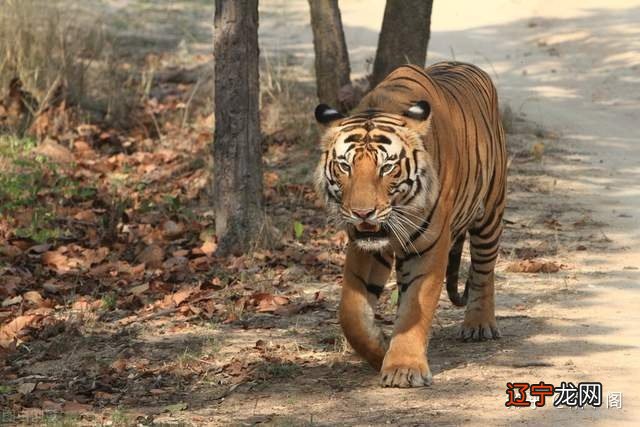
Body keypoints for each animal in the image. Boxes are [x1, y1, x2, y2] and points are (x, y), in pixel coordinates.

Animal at [314, 61, 504, 390]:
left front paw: (403, 368)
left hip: (490, 211)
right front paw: (380, 351)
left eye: (387, 167)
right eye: (345, 166)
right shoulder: (364, 248)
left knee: (484, 269)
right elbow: (351, 313)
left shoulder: (429, 247)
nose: (362, 213)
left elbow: (416, 305)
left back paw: (479, 324)